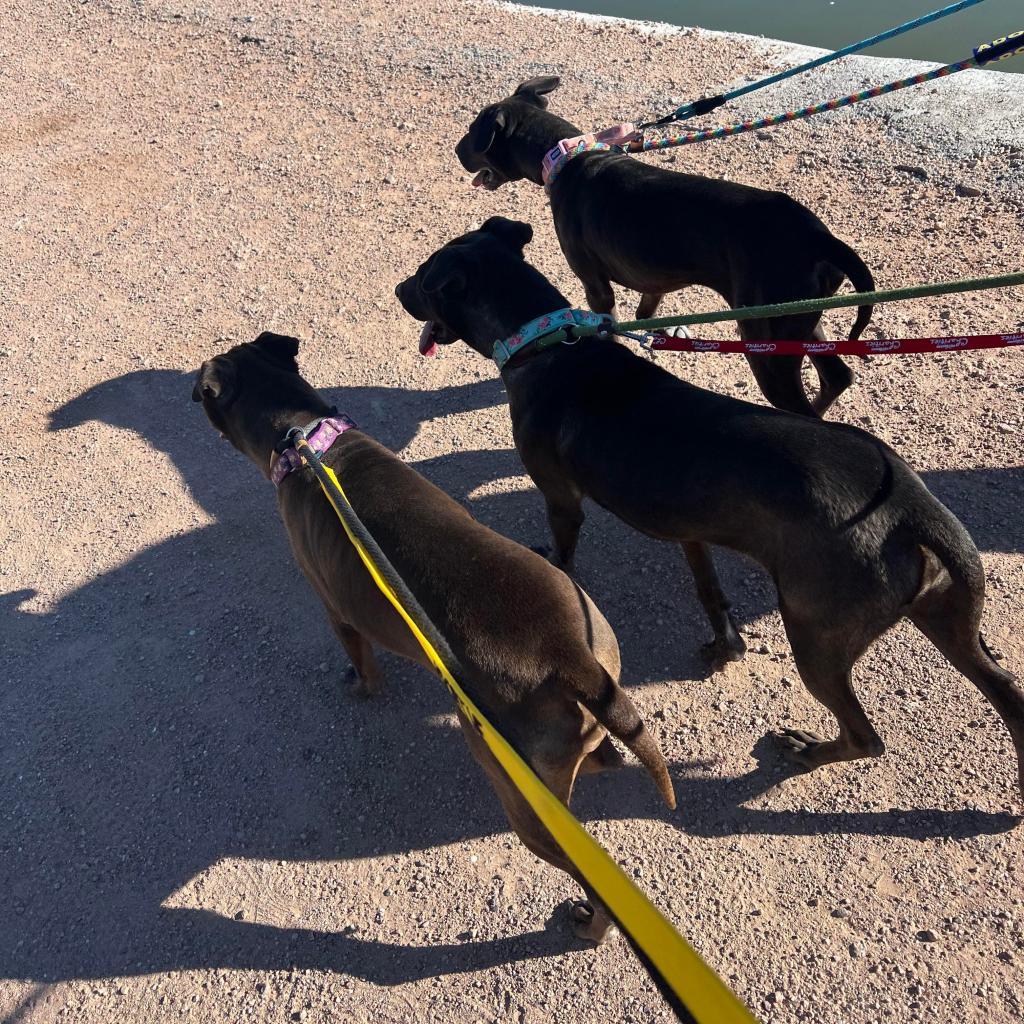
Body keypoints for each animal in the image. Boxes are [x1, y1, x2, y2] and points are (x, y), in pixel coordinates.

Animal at [192, 331, 675, 937]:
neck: (305, 437)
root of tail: (569, 656)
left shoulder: (334, 607)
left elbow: (363, 665)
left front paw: (358, 686)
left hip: (520, 796)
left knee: (593, 884)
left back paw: (588, 922)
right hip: (588, 695)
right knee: (601, 756)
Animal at [393, 222, 1024, 798]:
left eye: (424, 279)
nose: (398, 290)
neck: (544, 344)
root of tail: (911, 510)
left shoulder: (562, 499)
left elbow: (564, 552)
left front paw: (555, 564)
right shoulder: (690, 527)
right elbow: (708, 589)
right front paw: (726, 644)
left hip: (816, 632)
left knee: (867, 737)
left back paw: (807, 750)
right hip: (945, 617)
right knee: (1006, 693)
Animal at [460, 74, 876, 419]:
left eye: (472, 133)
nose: (456, 151)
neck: (567, 156)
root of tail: (818, 237)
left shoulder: (595, 285)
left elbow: (610, 326)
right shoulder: (653, 279)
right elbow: (646, 311)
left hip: (766, 340)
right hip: (798, 318)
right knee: (837, 376)